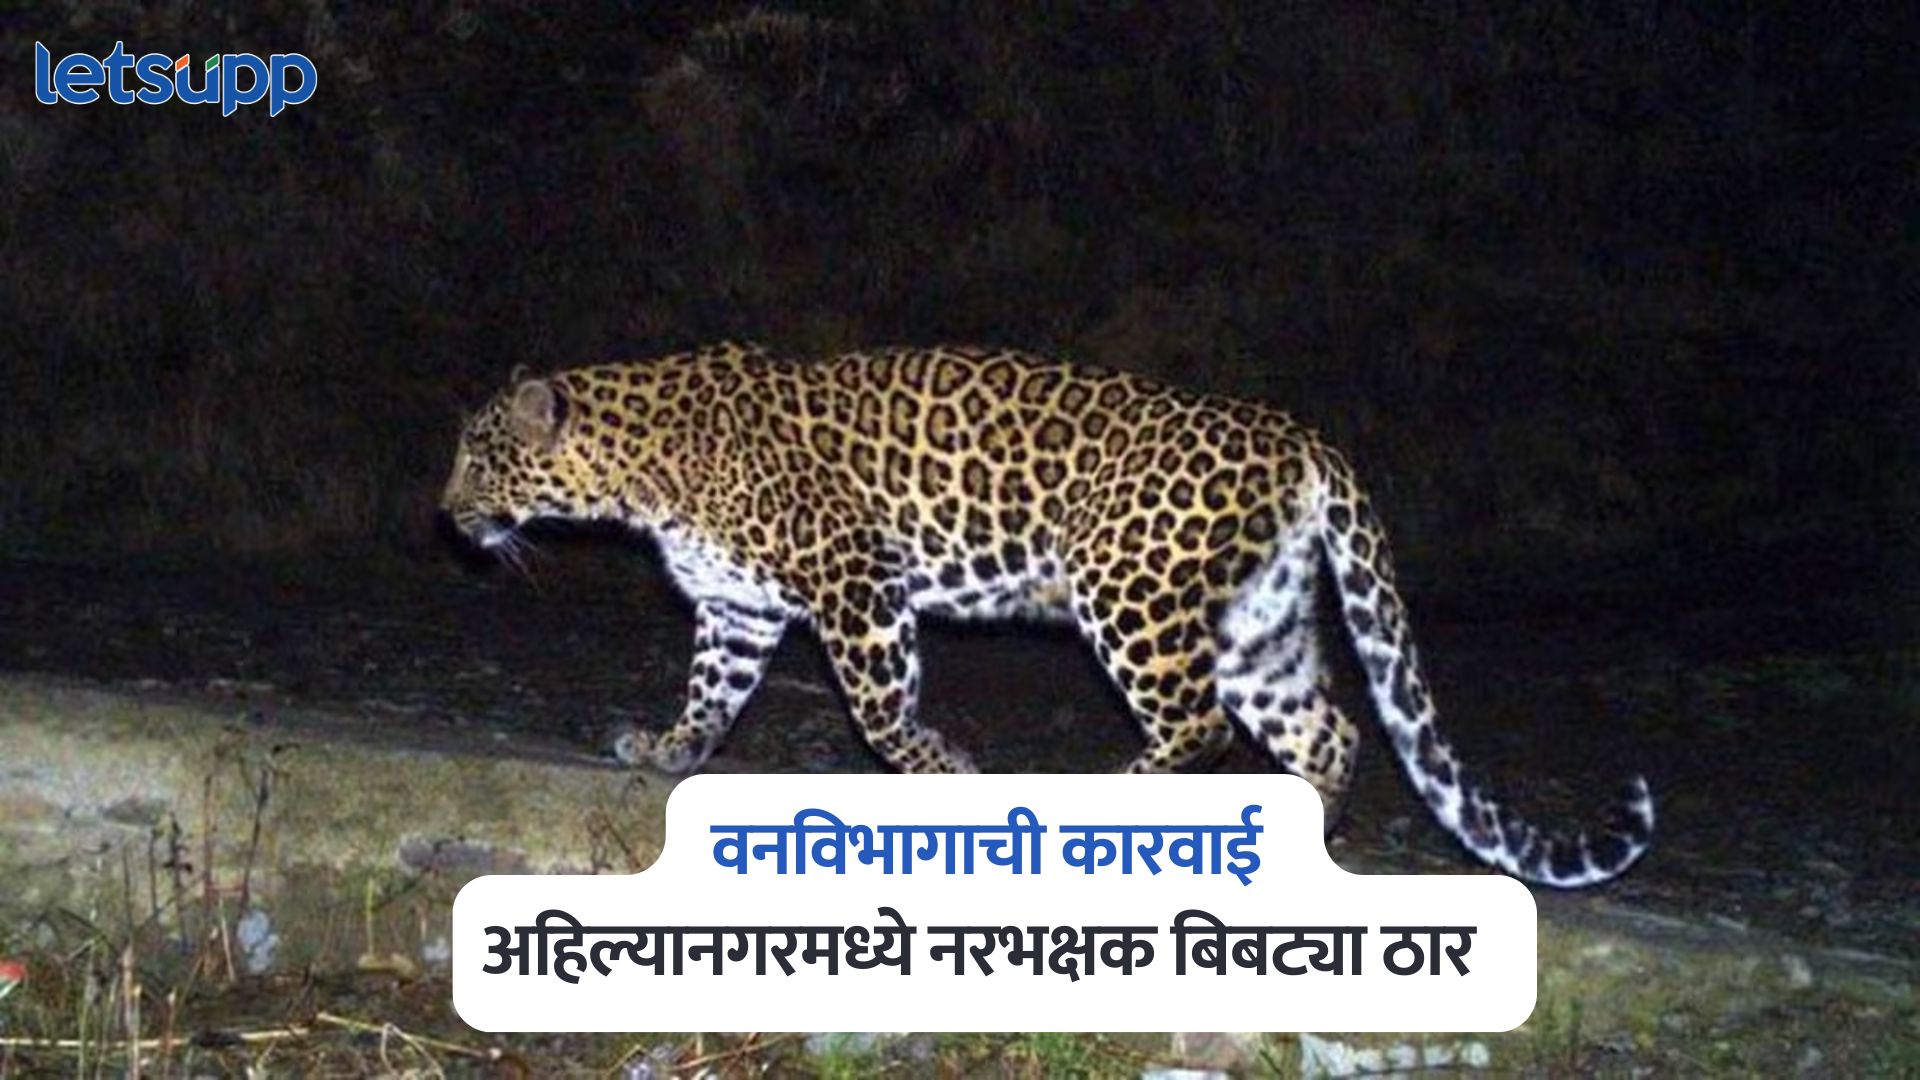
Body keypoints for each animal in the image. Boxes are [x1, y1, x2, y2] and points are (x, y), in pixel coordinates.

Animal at [441, 340, 1654, 887]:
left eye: (479, 456)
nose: (445, 515)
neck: (637, 468)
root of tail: (1297, 434)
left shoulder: (854, 579)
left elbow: (881, 711)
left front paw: (946, 771)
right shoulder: (738, 611)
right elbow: (710, 696)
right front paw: (667, 748)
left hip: (1130, 589)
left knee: (1196, 726)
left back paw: (1107, 798)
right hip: (1257, 623)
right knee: (1332, 729)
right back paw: (1287, 837)